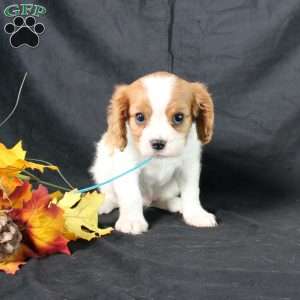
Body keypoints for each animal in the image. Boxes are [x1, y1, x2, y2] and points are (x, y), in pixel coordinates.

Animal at [90, 71, 217, 234]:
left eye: (179, 117)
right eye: (140, 117)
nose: (158, 143)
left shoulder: (188, 166)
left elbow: (192, 192)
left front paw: (196, 214)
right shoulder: (127, 168)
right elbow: (132, 196)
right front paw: (132, 220)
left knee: (160, 200)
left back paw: (175, 203)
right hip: (102, 169)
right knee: (112, 196)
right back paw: (103, 204)